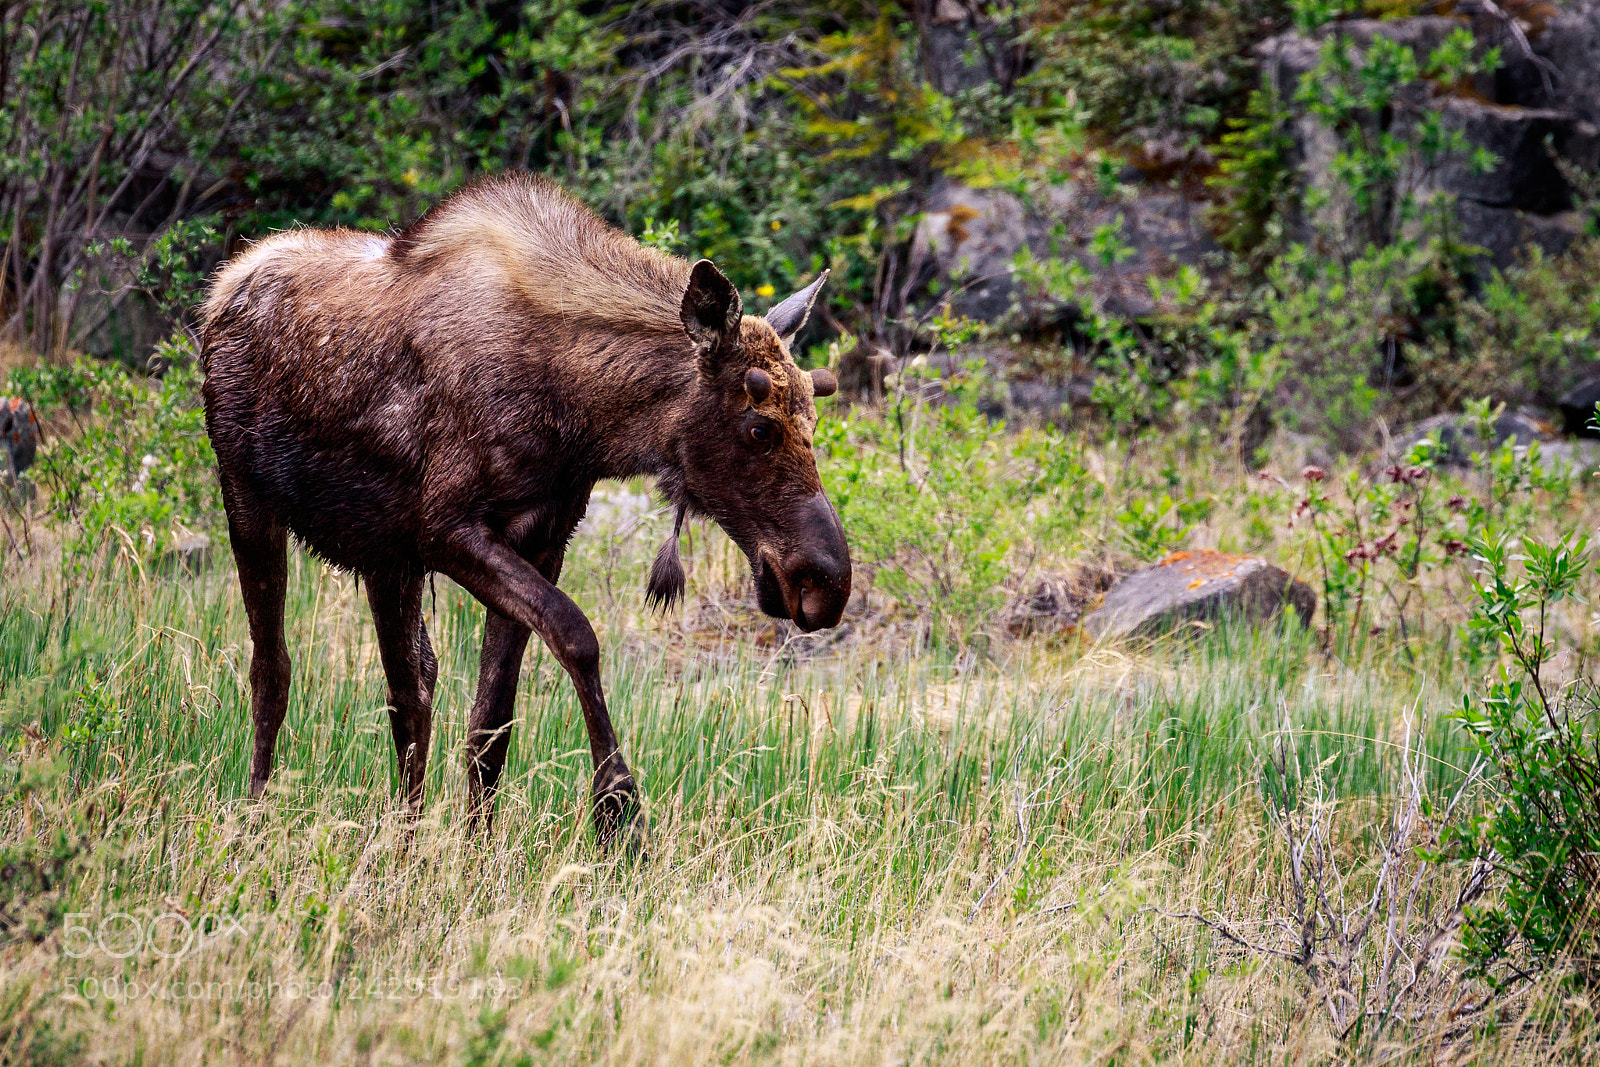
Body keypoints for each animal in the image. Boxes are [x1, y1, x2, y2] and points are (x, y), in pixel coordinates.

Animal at [199, 173, 851, 844]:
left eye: (813, 416)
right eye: (758, 428)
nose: (825, 581)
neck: (578, 419)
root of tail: (223, 286)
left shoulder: (540, 540)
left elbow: (492, 720)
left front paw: (478, 849)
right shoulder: (445, 529)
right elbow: (576, 634)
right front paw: (619, 808)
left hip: (384, 557)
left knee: (411, 689)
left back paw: (403, 846)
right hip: (248, 498)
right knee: (272, 670)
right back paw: (252, 816)